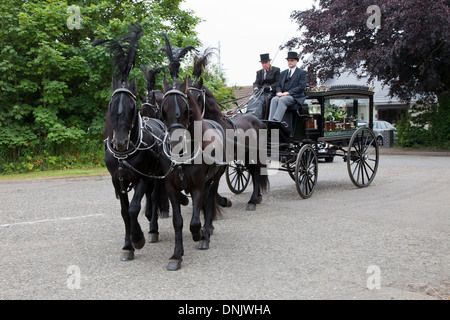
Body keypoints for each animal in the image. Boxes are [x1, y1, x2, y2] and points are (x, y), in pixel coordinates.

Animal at [160, 77, 227, 270]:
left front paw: (200, 234)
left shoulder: (198, 185)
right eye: (163, 111)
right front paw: (176, 255)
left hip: (214, 179)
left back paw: (206, 233)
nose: (175, 143)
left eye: (185, 110)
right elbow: (178, 221)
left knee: (209, 201)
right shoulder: (171, 188)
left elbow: (195, 222)